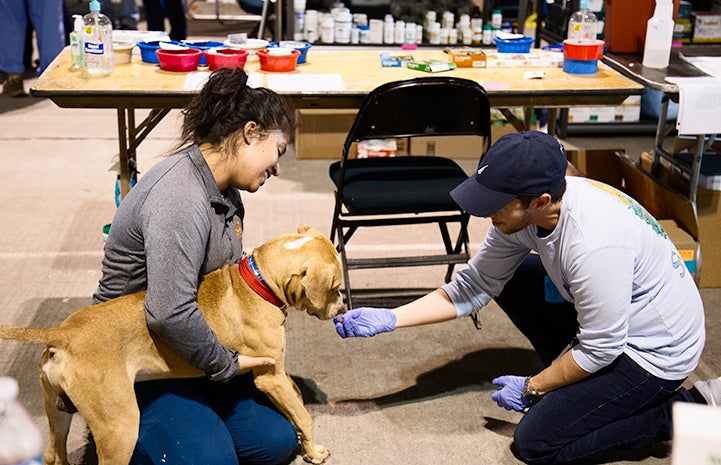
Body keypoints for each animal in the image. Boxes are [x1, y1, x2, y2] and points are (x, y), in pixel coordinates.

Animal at [0, 226, 344, 464]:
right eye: (335, 287)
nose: (342, 309)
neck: (257, 285)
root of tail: (64, 334)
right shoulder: (270, 377)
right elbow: (303, 416)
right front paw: (314, 452)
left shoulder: (279, 375)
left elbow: (296, 402)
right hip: (119, 426)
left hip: (58, 412)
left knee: (52, 454)